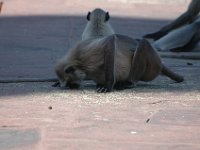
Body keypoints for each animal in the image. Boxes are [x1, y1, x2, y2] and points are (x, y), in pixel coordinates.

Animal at [54, 34, 184, 92]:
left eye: (70, 82)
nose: (73, 86)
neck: (77, 61)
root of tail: (159, 62)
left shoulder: (86, 54)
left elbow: (110, 41)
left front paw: (108, 86)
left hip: (152, 67)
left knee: (142, 43)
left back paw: (129, 82)